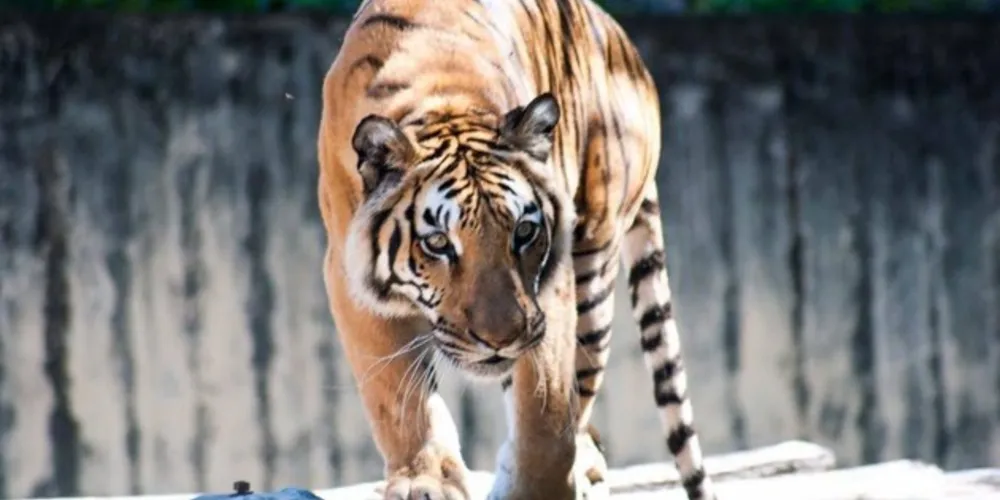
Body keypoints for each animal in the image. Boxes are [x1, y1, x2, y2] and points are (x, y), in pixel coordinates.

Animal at [316, 0, 716, 499]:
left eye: (523, 232)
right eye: (438, 243)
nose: (500, 340)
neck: (439, 97)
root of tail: (626, 47)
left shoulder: (550, 290)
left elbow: (546, 411)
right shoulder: (350, 278)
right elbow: (399, 397)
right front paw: (426, 480)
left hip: (594, 263)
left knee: (581, 390)